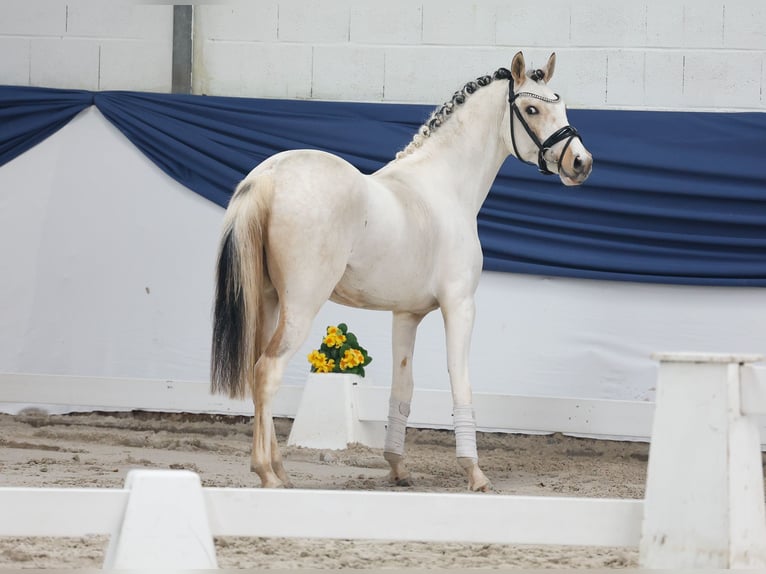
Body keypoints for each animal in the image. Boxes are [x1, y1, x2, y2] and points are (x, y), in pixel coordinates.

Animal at [211, 51, 592, 491]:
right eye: (532, 109)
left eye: (561, 106)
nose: (581, 162)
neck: (442, 188)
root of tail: (268, 177)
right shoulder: (460, 305)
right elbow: (460, 379)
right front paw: (475, 473)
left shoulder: (406, 315)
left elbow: (403, 387)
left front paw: (397, 467)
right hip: (301, 305)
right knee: (267, 371)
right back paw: (267, 475)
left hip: (270, 301)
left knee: (258, 373)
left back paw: (281, 472)